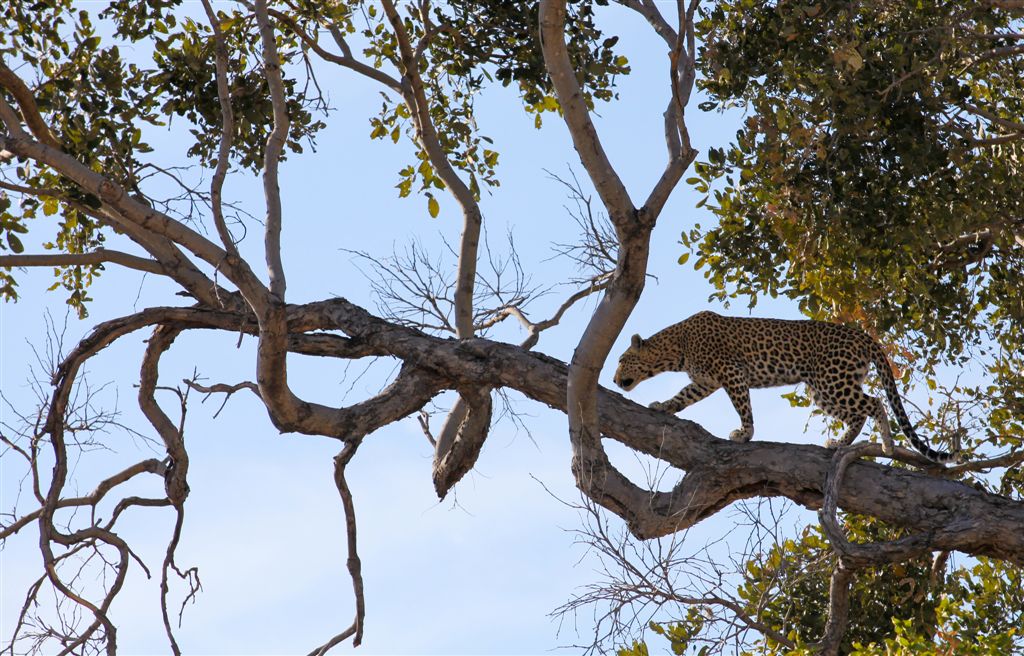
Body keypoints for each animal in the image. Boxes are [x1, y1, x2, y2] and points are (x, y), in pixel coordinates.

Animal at [614, 311, 958, 460]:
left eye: (621, 359)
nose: (615, 380)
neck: (675, 348)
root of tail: (862, 335)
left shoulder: (731, 373)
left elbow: (743, 406)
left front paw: (745, 434)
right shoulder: (705, 381)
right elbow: (682, 397)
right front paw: (663, 406)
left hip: (833, 380)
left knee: (875, 403)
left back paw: (885, 444)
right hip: (822, 388)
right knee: (859, 413)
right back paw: (840, 443)